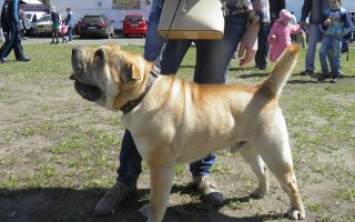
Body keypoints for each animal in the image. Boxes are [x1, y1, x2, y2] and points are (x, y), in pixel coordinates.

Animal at [69, 43, 306, 222]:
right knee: (262, 170)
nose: (73, 49)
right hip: (249, 150)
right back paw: (260, 192)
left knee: (291, 182)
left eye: (99, 56)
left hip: (275, 152)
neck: (144, 92)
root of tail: (263, 89)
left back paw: (296, 210)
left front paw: (151, 216)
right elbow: (156, 197)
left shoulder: (160, 167)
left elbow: (157, 202)